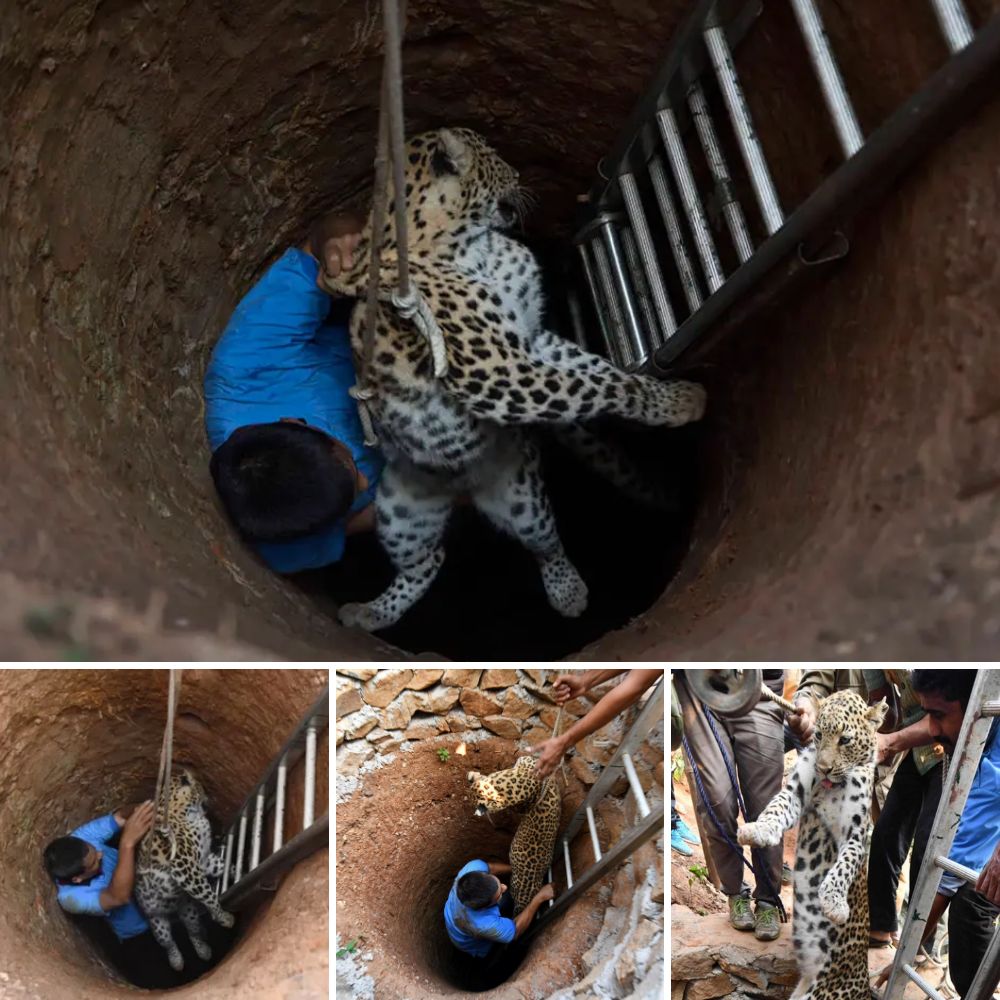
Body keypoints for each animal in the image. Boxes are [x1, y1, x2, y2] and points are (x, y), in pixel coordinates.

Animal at [133, 768, 234, 972]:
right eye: (201, 787)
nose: (208, 797)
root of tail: (171, 909)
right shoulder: (183, 865)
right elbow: (209, 895)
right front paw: (223, 916)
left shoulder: (201, 862)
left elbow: (219, 865)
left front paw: (234, 868)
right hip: (157, 921)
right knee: (168, 942)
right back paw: (177, 962)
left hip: (188, 910)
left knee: (193, 931)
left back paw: (204, 951)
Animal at [320, 127, 704, 632]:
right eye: (496, 160)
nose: (520, 175)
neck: (472, 245)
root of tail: (460, 487)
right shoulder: (495, 371)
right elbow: (597, 387)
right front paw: (678, 402)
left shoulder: (529, 339)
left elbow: (593, 372)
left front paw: (650, 390)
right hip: (402, 513)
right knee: (429, 562)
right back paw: (371, 612)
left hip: (518, 499)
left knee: (542, 544)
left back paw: (565, 589)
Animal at [732, 692, 888, 996]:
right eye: (818, 735)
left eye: (845, 740)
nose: (824, 769)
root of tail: (864, 983)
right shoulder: (796, 793)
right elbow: (775, 808)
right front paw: (757, 829)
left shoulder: (857, 832)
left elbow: (845, 865)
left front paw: (833, 903)